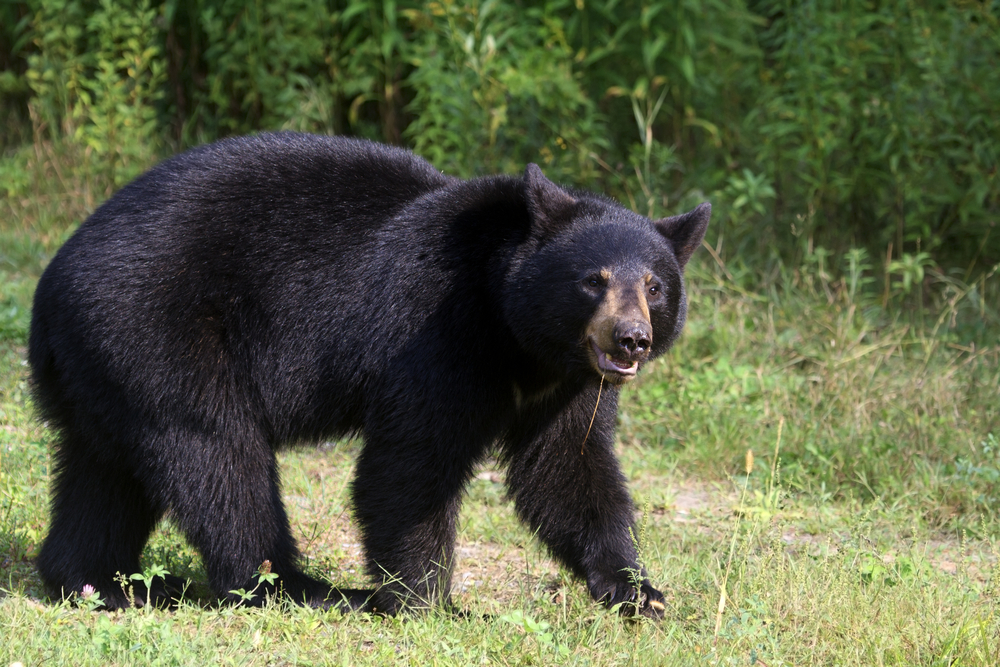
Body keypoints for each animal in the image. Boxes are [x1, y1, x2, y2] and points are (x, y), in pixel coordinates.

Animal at [29, 132, 710, 617]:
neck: (522, 340)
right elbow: (410, 463)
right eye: (593, 280)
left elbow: (567, 467)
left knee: (104, 474)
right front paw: (428, 601)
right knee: (218, 458)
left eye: (655, 286)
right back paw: (298, 588)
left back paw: (96, 582)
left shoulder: (569, 384)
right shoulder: (436, 330)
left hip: (105, 369)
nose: (632, 339)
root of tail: (51, 290)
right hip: (160, 332)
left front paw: (636, 589)